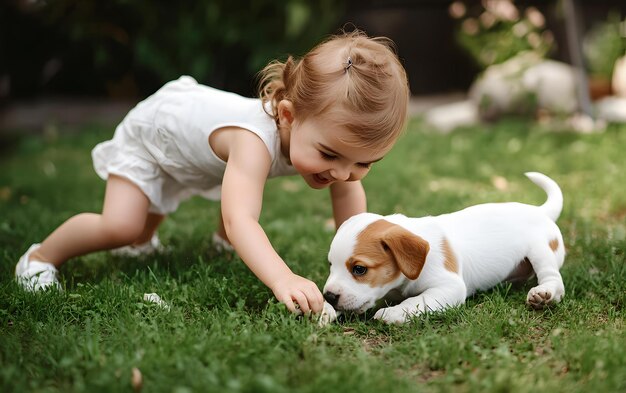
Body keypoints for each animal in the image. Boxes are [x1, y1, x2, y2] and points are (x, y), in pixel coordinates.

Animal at [322, 173, 564, 324]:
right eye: (331, 265)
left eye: (359, 269)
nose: (329, 295)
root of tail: (540, 211)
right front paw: (324, 310)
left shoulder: (449, 287)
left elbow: (417, 301)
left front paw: (394, 313)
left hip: (541, 251)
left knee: (553, 278)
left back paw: (545, 294)